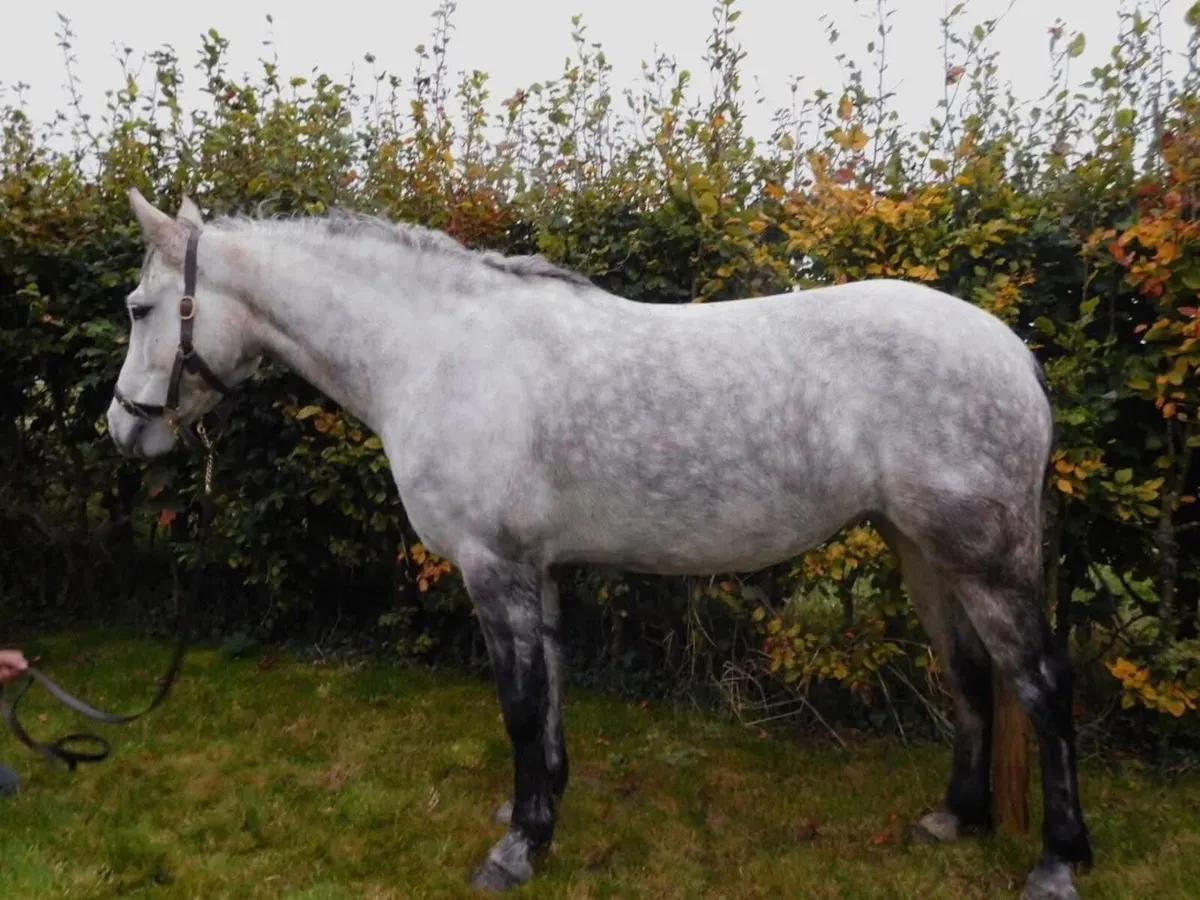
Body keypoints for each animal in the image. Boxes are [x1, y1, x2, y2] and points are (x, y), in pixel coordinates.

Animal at [105, 189, 1093, 900]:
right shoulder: (536, 570)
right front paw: (540, 813)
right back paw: (955, 818)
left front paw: (513, 852)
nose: (123, 428)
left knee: (1042, 683)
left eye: (141, 307)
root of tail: (1015, 351)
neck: (437, 353)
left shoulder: (494, 567)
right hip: (922, 550)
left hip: (984, 557)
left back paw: (1058, 861)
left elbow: (516, 701)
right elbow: (547, 696)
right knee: (970, 674)